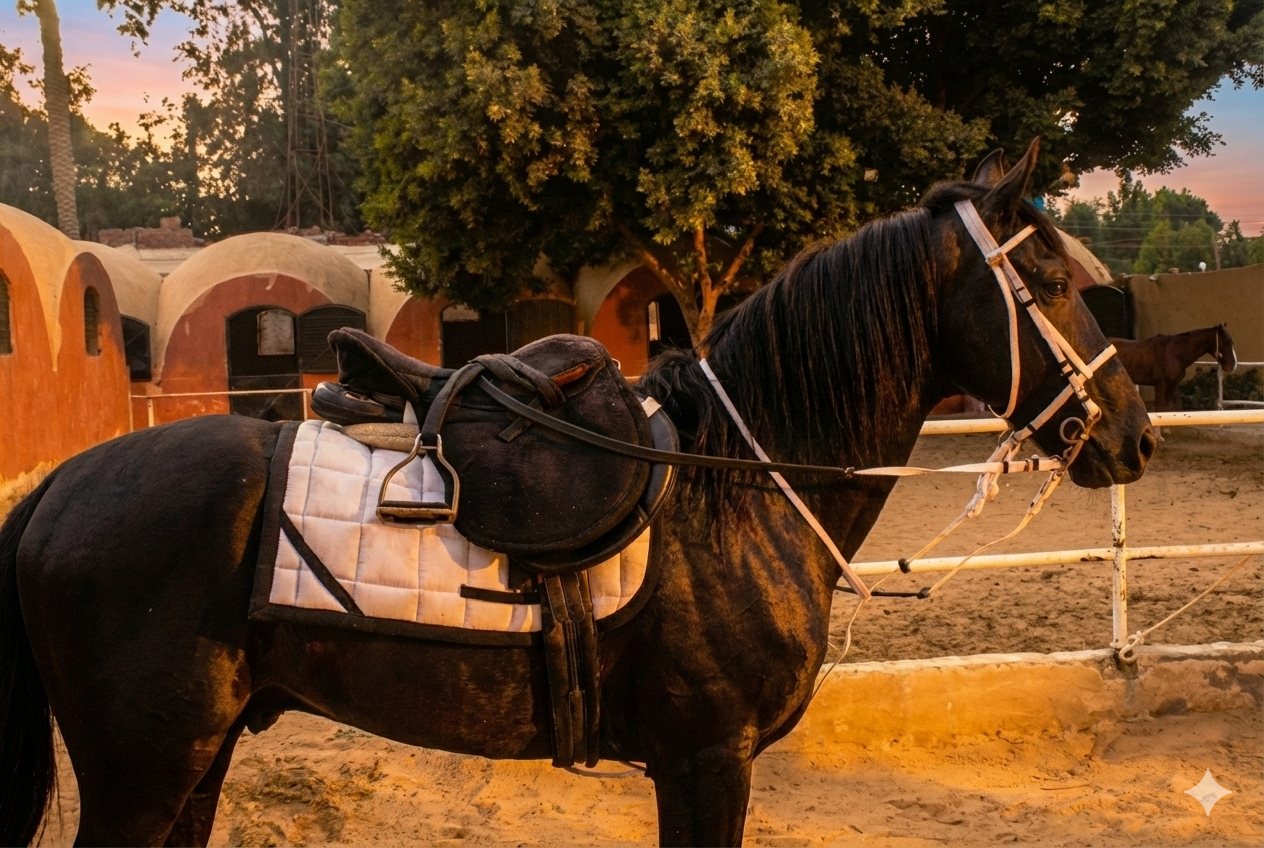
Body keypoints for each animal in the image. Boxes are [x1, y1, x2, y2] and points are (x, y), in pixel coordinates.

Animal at [0, 141, 1156, 847]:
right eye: (1053, 282)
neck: (742, 491)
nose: (1134, 434)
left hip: (198, 758)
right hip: (145, 769)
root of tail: (57, 489)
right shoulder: (705, 760)